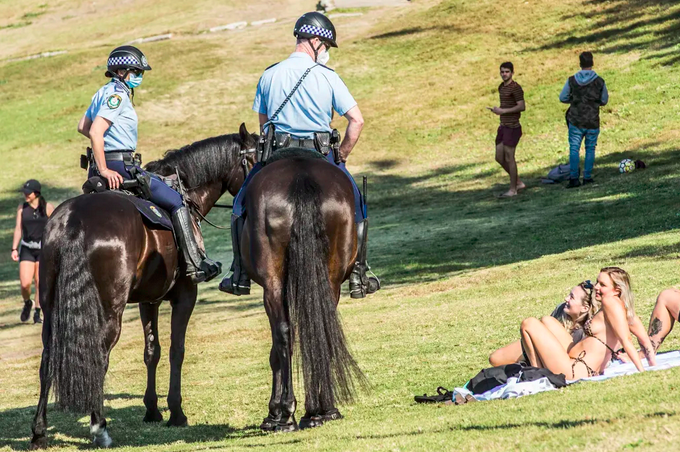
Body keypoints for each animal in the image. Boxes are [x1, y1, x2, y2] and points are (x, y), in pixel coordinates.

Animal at [29, 123, 258, 448]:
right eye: (255, 158)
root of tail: (74, 221)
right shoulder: (185, 294)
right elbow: (177, 350)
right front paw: (176, 412)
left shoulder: (150, 300)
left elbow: (153, 351)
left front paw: (152, 410)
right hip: (109, 311)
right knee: (99, 355)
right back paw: (99, 428)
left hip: (51, 309)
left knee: (47, 357)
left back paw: (39, 432)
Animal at [239, 150, 366, 432]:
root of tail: (301, 177)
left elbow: (277, 349)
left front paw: (275, 412)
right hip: (330, 279)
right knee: (321, 327)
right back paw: (322, 410)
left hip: (273, 284)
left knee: (283, 335)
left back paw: (288, 413)